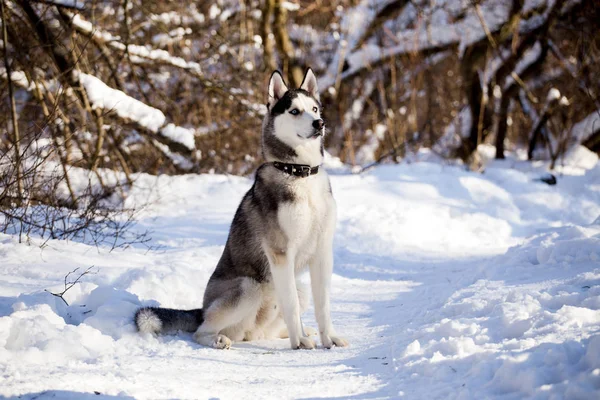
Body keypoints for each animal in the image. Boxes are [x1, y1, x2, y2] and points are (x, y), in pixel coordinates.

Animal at [135, 69, 346, 350]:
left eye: (314, 108)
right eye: (294, 111)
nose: (319, 123)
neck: (299, 174)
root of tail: (202, 309)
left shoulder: (322, 251)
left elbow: (324, 305)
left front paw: (329, 338)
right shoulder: (280, 253)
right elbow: (290, 306)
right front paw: (299, 343)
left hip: (296, 291)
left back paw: (300, 331)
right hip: (249, 286)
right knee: (201, 330)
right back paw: (218, 339)